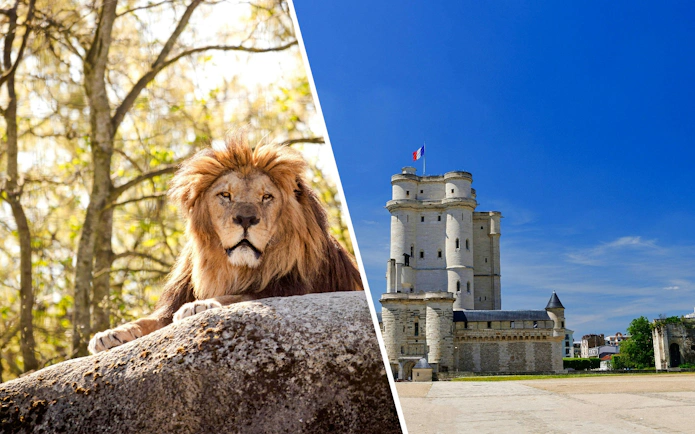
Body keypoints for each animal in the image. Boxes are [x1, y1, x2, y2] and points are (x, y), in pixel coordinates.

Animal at [88, 135, 363, 354]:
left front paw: (199, 306)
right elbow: (151, 320)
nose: (246, 219)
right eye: (225, 195)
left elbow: (238, 295)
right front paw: (111, 334)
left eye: (266, 197)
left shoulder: (290, 288)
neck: (233, 267)